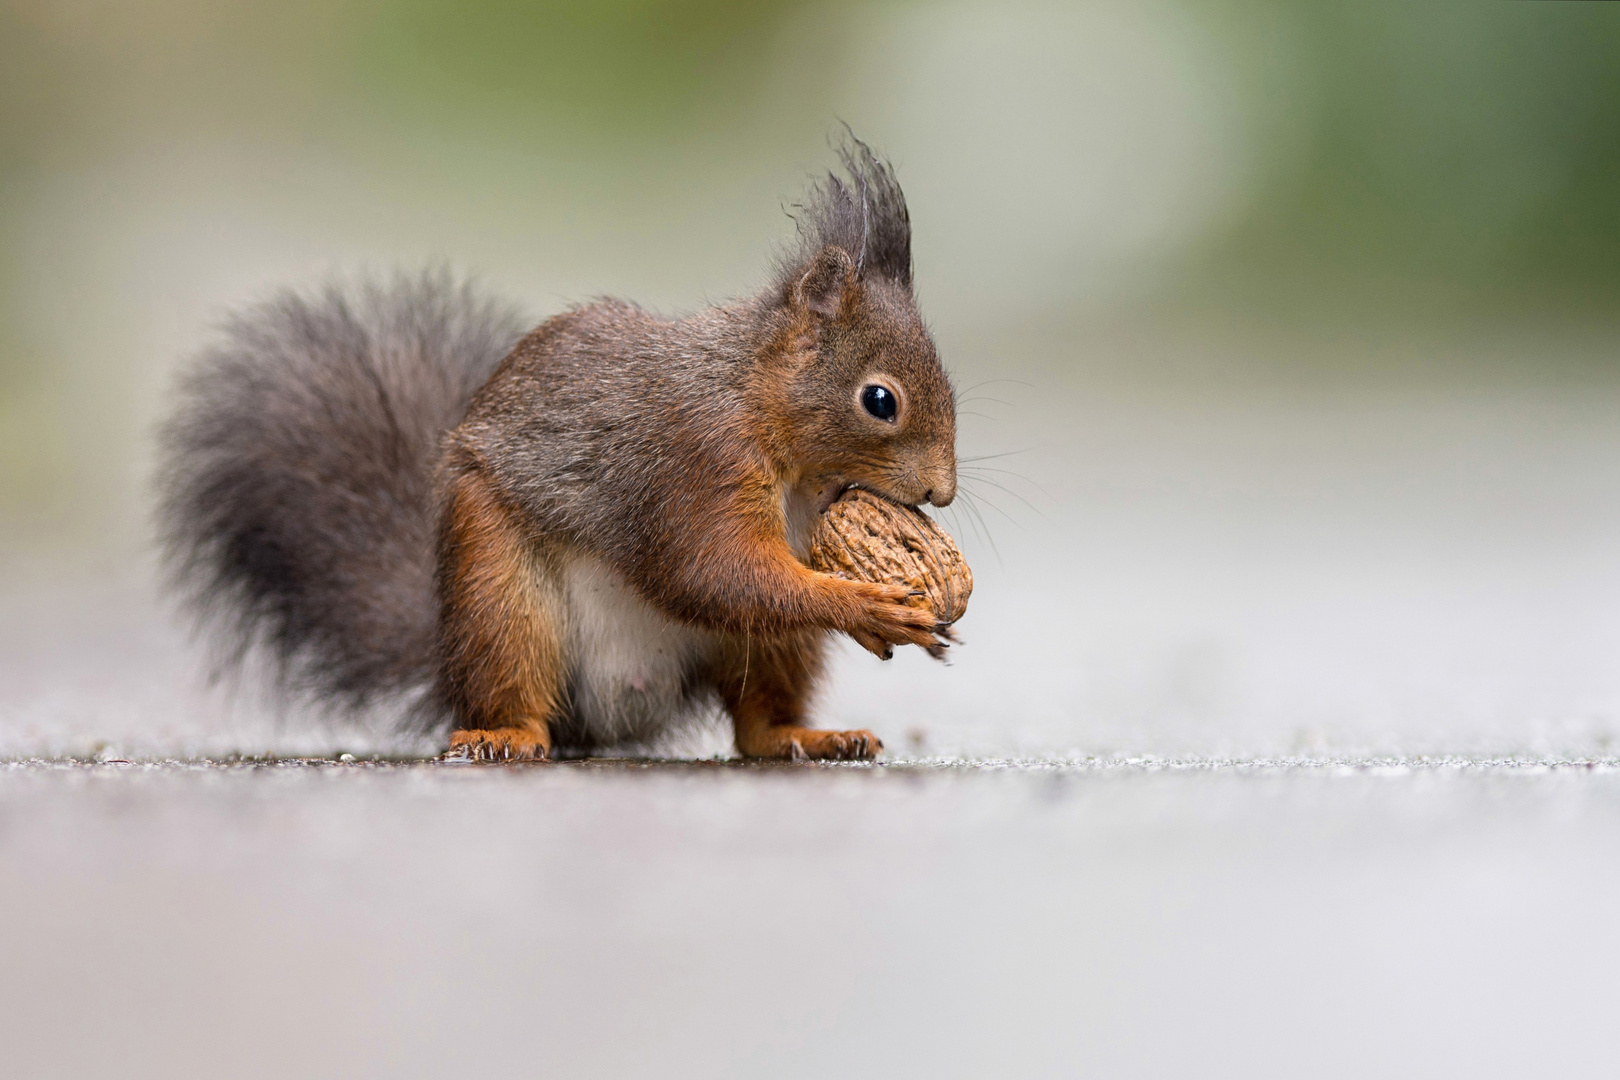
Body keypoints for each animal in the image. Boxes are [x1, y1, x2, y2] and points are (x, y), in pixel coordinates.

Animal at [157, 135, 952, 761]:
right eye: (879, 400)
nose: (941, 492)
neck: (763, 411)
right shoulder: (694, 462)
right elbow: (712, 572)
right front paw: (863, 604)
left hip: (769, 651)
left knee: (758, 719)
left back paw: (809, 736)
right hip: (497, 591)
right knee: (515, 688)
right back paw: (504, 735)